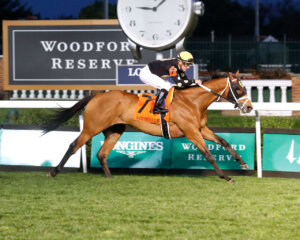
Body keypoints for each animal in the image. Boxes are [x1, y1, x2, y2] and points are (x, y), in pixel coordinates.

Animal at [43, 71, 252, 182]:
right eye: (238, 89)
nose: (249, 107)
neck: (193, 102)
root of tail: (96, 96)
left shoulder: (201, 129)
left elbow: (223, 141)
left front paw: (242, 163)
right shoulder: (191, 132)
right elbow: (208, 154)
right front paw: (225, 176)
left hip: (115, 130)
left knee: (102, 154)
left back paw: (110, 177)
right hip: (91, 128)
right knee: (73, 145)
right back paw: (53, 172)